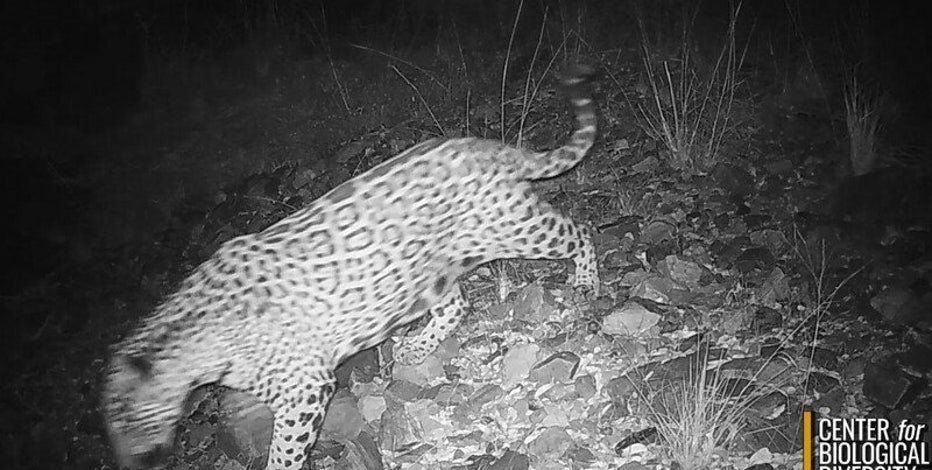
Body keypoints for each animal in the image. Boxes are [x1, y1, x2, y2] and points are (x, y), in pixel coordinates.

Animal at [102, 64, 600, 469]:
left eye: (127, 420)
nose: (128, 464)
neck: (193, 350)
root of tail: (487, 145)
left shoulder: (305, 388)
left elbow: (284, 450)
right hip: (428, 270)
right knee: (455, 305)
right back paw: (415, 349)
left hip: (513, 226)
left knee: (579, 230)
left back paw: (587, 283)